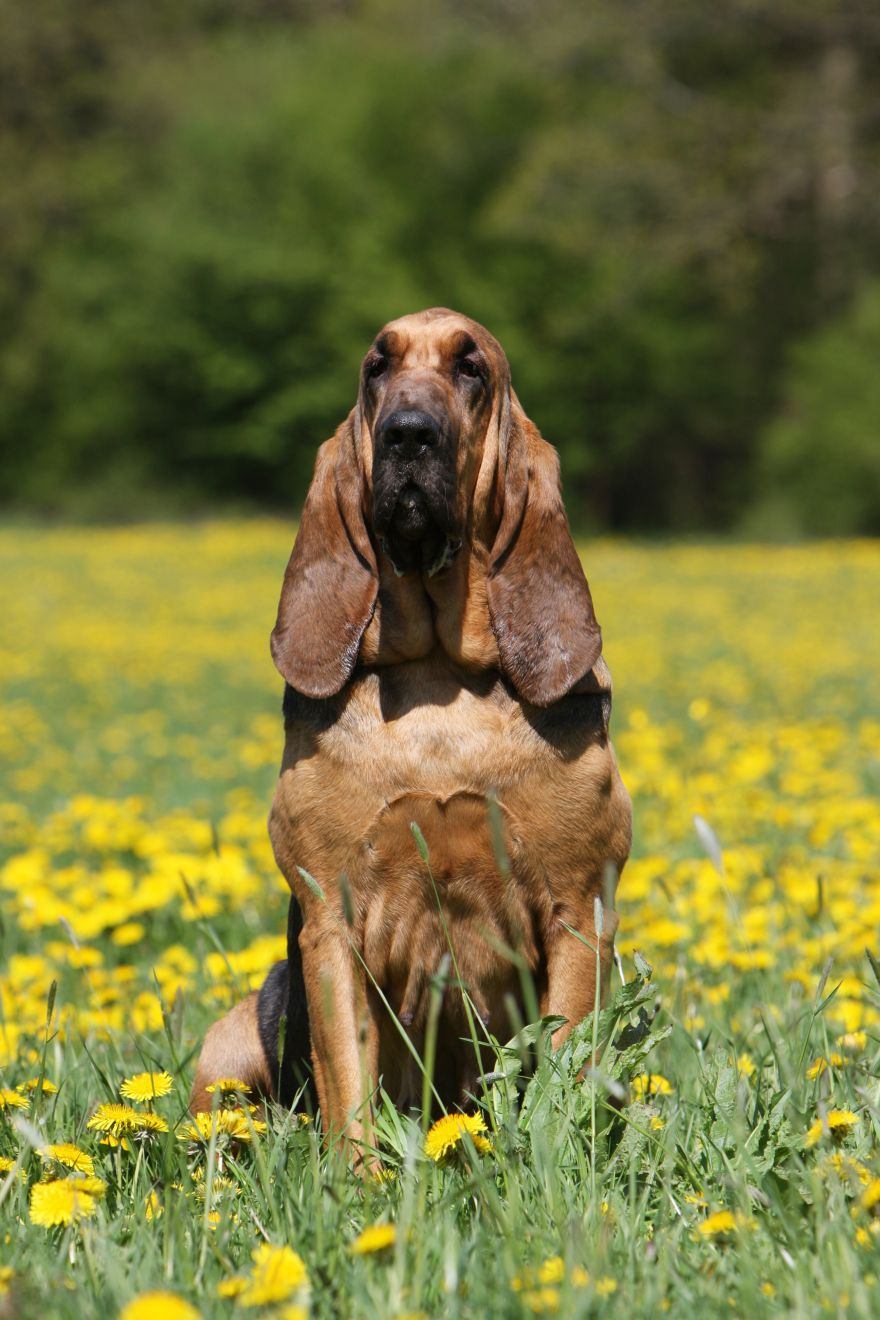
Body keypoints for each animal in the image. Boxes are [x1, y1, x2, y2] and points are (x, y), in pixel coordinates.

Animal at [192, 306, 633, 1145]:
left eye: (472, 368)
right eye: (377, 367)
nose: (407, 434)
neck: (440, 680)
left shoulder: (576, 913)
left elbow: (561, 1063)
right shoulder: (330, 922)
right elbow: (348, 1078)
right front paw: (358, 1176)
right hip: (226, 1041)